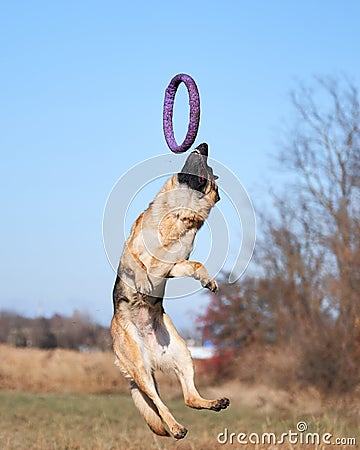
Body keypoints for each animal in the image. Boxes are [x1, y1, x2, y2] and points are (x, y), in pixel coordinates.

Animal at [109, 143, 229, 440]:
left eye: (209, 169)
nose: (203, 145)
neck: (177, 213)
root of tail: (152, 357)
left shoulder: (175, 266)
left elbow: (195, 264)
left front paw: (208, 280)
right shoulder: (130, 254)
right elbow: (141, 264)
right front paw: (142, 282)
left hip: (183, 355)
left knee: (188, 398)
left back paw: (211, 405)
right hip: (141, 370)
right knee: (159, 402)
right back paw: (176, 427)